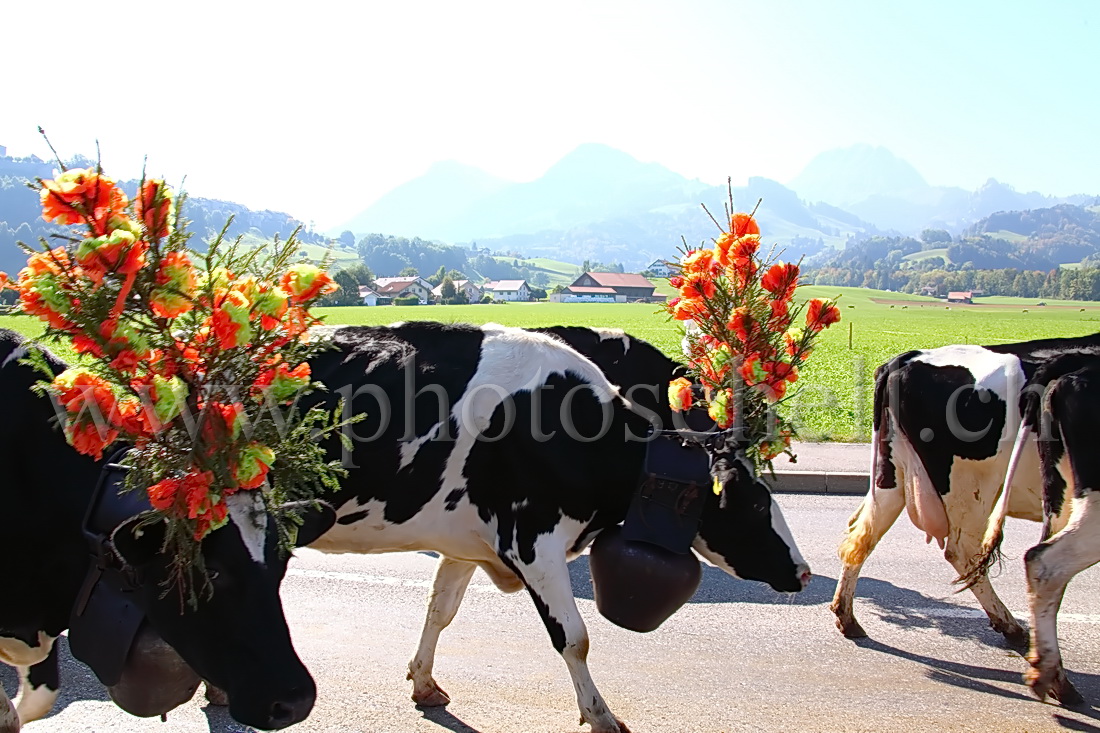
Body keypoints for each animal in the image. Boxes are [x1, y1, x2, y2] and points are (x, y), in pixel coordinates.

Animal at [301, 323, 809, 730]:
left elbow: (440, 611)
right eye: (757, 504)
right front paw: (600, 715)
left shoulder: (463, 539)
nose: (802, 572)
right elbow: (575, 638)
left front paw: (423, 682)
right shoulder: (532, 542)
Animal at [827, 330, 1100, 660]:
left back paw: (847, 618)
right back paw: (1012, 627)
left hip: (893, 475)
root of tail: (906, 358)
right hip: (972, 485)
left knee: (863, 536)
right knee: (963, 551)